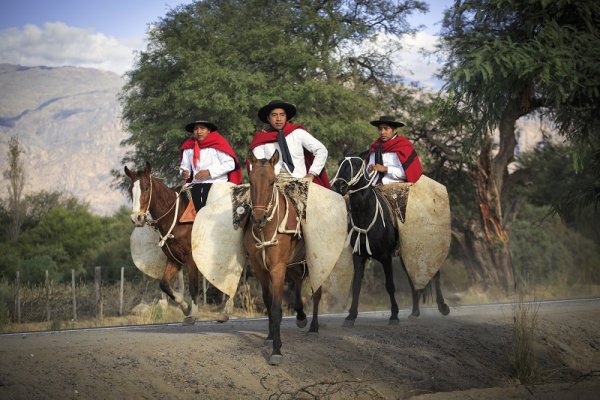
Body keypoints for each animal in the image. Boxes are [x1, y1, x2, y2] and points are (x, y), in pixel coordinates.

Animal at [124, 161, 227, 324]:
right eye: (130, 190)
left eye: (146, 188)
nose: (137, 218)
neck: (176, 217)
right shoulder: (174, 259)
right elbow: (164, 284)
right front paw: (185, 307)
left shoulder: (191, 258)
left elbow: (193, 287)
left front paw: (193, 314)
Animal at [243, 150, 322, 366]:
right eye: (251, 181)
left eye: (272, 182)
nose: (258, 218)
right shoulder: (260, 268)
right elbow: (268, 301)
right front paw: (270, 337)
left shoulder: (277, 267)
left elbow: (277, 307)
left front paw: (276, 350)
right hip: (294, 264)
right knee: (297, 284)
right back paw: (301, 317)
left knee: (317, 292)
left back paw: (314, 327)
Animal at [328, 152, 450, 326]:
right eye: (340, 164)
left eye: (357, 165)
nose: (339, 185)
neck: (366, 216)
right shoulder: (358, 256)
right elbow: (356, 285)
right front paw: (350, 316)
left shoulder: (385, 257)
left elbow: (390, 285)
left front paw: (394, 315)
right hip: (407, 253)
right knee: (412, 278)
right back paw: (415, 313)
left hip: (426, 246)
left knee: (435, 274)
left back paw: (443, 307)